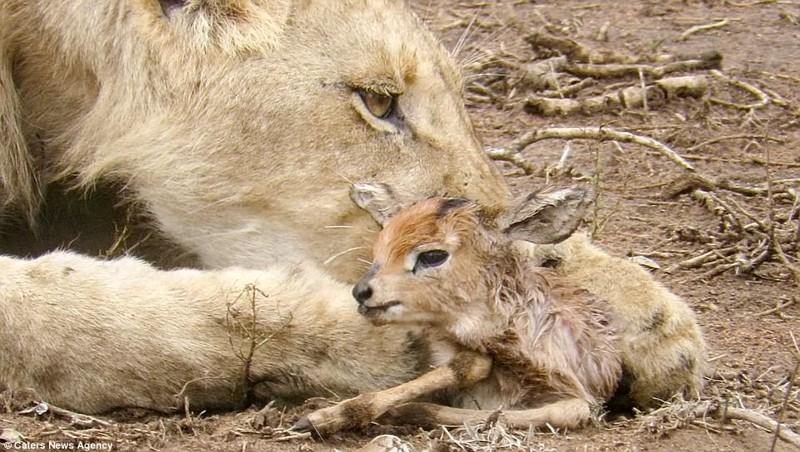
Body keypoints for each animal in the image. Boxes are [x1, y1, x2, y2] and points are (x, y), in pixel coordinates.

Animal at [294, 185, 624, 434]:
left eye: (432, 255)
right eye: (379, 249)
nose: (362, 291)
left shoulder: (579, 399)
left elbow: (560, 412)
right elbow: (468, 365)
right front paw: (319, 413)